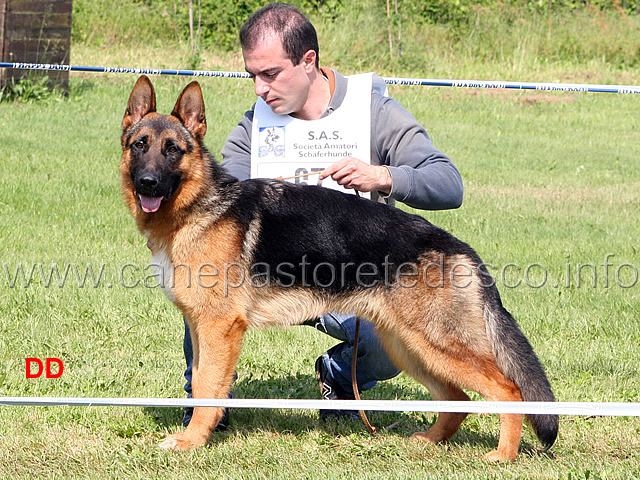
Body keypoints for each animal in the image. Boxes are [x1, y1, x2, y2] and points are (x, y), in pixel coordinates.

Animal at [121, 76, 560, 462]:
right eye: (140, 145)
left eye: (173, 150)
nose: (148, 183)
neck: (199, 205)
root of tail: (461, 248)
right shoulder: (200, 326)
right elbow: (199, 383)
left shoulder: (218, 328)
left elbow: (209, 388)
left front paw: (192, 441)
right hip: (409, 347)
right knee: (458, 400)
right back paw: (429, 441)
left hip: (436, 345)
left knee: (508, 391)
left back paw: (503, 455)